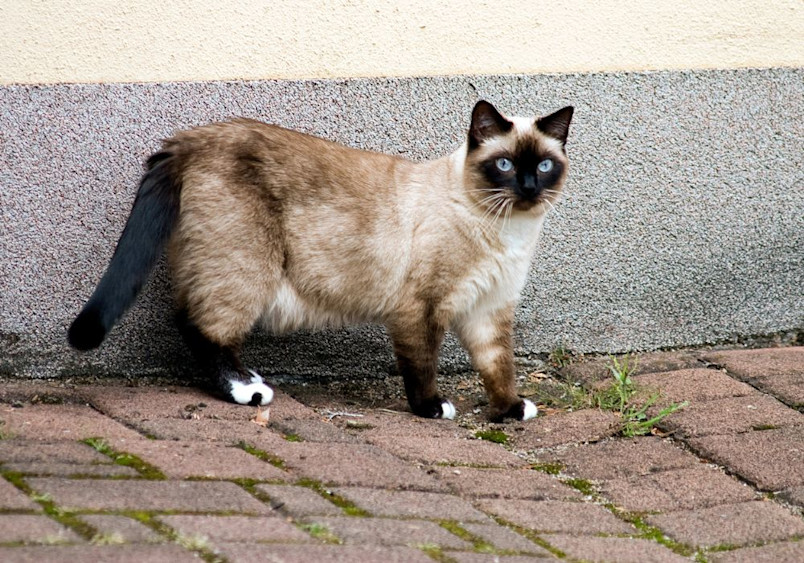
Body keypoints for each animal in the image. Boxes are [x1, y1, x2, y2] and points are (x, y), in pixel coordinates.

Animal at [67, 101, 572, 420]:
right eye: (504, 165)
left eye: (544, 165)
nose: (529, 187)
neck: (509, 231)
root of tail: (192, 140)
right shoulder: (423, 309)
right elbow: (423, 365)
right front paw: (431, 409)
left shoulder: (488, 310)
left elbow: (498, 367)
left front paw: (509, 411)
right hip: (247, 271)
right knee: (200, 329)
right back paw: (248, 391)